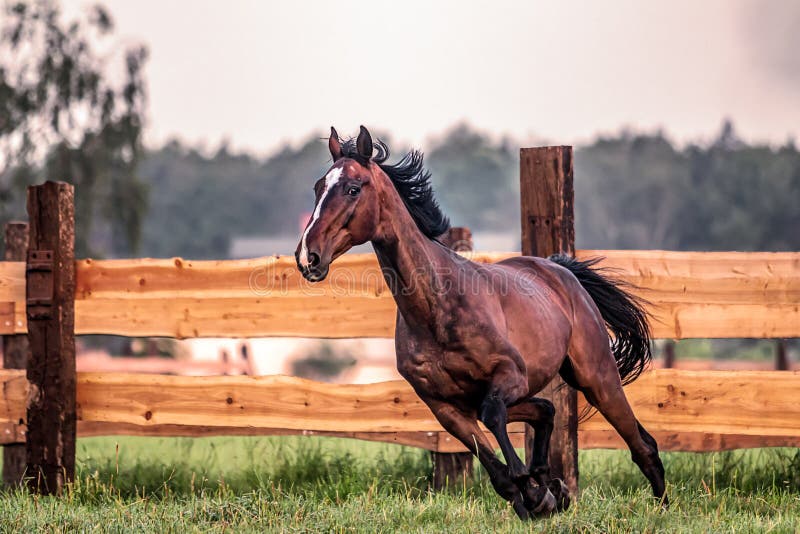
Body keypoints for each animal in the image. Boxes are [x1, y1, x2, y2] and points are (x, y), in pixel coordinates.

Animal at [296, 126, 664, 524]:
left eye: (353, 188)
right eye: (317, 187)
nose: (307, 257)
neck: (437, 309)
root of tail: (561, 270)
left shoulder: (509, 376)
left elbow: (495, 420)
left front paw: (536, 488)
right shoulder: (446, 408)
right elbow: (497, 471)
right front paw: (538, 494)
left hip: (595, 377)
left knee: (642, 444)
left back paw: (659, 505)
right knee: (546, 410)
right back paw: (549, 482)